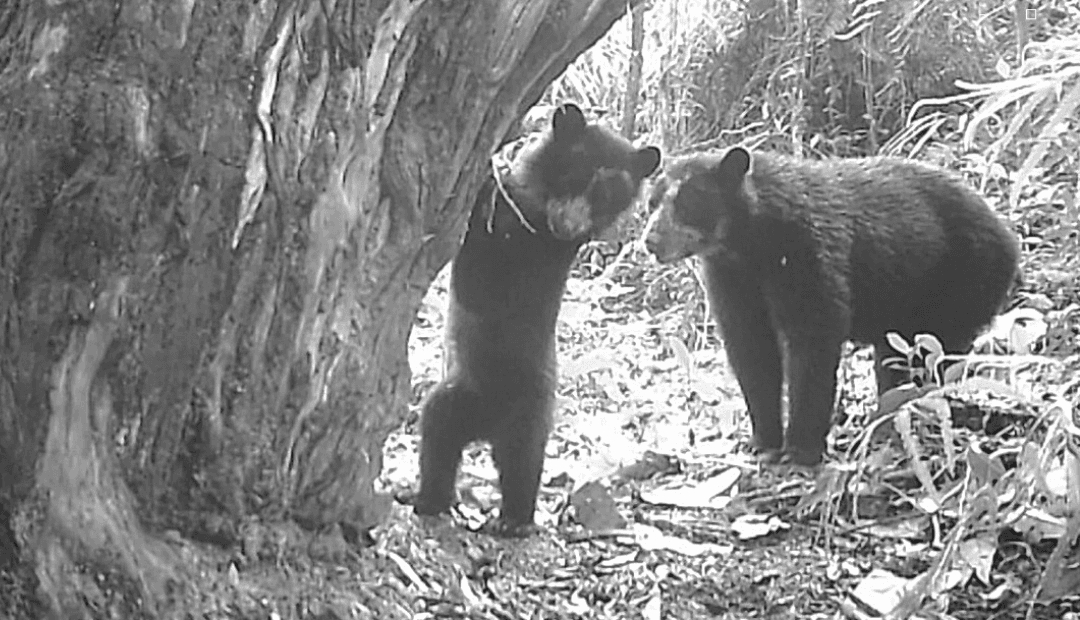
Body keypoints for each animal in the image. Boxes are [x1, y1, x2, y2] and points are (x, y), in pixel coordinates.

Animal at [414, 104, 661, 536]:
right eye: (573, 171)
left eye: (608, 194)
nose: (570, 225)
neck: (539, 219)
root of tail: (488, 425)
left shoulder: (529, 257)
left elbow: (483, 269)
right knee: (441, 438)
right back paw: (439, 501)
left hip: (526, 408)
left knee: (519, 460)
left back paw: (510, 519)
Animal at [642, 146, 1020, 466]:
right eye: (652, 202)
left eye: (690, 200)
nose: (650, 241)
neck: (748, 244)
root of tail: (1008, 235)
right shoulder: (732, 280)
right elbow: (751, 350)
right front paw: (763, 441)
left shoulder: (805, 253)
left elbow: (813, 340)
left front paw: (801, 448)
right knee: (894, 361)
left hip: (964, 279)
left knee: (937, 355)